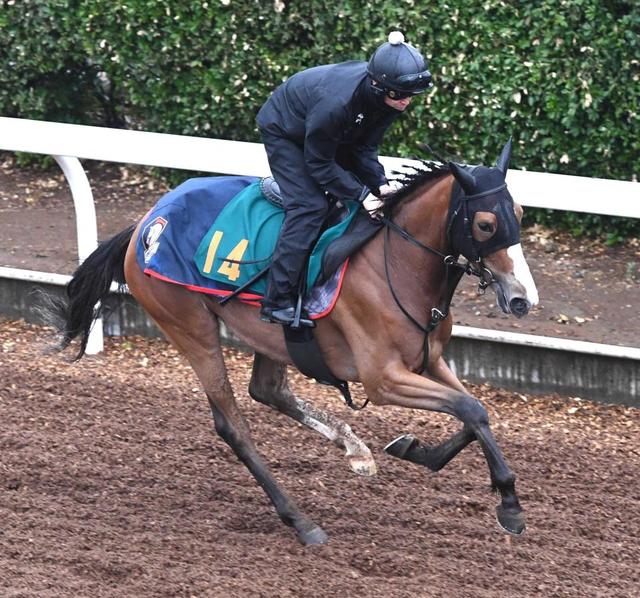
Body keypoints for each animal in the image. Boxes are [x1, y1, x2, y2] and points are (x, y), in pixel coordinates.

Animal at [44, 139, 538, 545]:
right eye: (486, 224)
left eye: (518, 216)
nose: (521, 298)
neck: (398, 265)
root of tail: (146, 226)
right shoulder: (384, 379)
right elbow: (470, 410)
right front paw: (509, 506)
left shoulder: (429, 361)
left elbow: (475, 412)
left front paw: (414, 450)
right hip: (189, 326)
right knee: (233, 426)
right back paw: (301, 521)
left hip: (271, 336)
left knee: (267, 390)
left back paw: (354, 450)